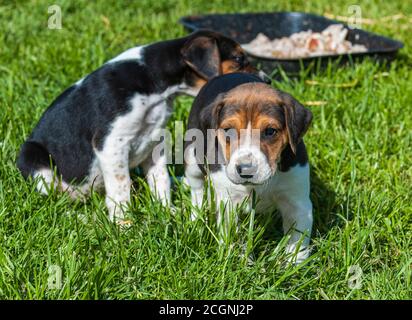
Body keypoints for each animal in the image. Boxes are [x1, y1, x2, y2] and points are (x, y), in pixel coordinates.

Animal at [16, 30, 264, 220]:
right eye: (239, 59)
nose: (267, 80)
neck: (155, 84)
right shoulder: (110, 143)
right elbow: (121, 185)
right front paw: (123, 225)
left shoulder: (155, 141)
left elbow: (159, 179)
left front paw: (166, 211)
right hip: (33, 159)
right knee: (55, 199)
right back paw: (79, 216)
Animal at [185, 74, 314, 264]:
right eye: (228, 130)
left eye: (270, 131)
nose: (245, 169)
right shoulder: (228, 203)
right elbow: (233, 235)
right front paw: (239, 261)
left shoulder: (298, 202)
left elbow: (298, 241)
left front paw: (293, 265)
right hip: (191, 158)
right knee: (197, 191)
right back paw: (196, 222)